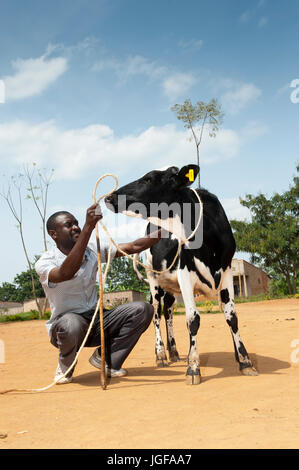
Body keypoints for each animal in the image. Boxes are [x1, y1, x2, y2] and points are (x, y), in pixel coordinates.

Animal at [105, 163, 258, 384]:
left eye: (148, 179)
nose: (110, 197)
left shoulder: (227, 270)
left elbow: (231, 316)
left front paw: (244, 359)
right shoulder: (185, 271)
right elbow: (193, 319)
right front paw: (193, 367)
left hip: (170, 287)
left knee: (168, 312)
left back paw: (174, 351)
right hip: (153, 281)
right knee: (156, 314)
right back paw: (161, 354)